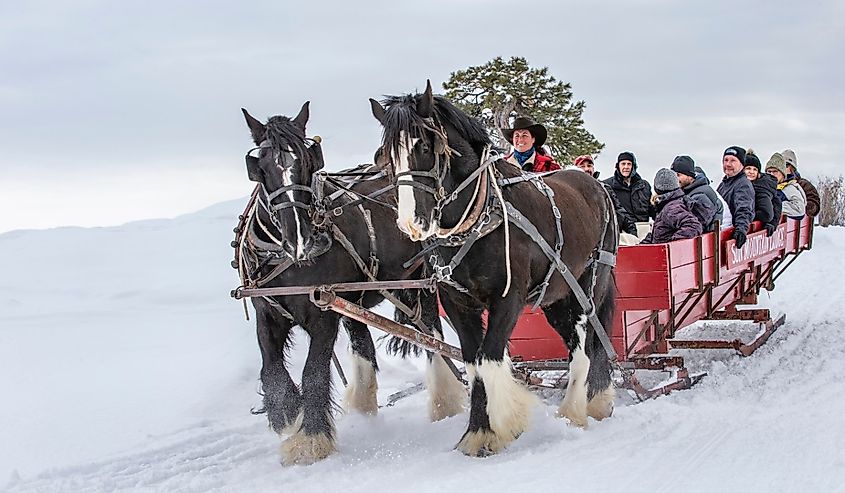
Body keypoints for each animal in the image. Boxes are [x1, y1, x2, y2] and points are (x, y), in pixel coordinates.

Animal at [236, 102, 462, 464]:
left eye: (309, 161)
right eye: (263, 167)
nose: (302, 241)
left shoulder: (323, 315)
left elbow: (313, 373)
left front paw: (310, 439)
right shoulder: (267, 312)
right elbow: (272, 370)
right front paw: (287, 413)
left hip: (419, 284)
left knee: (432, 336)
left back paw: (445, 402)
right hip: (354, 298)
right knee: (363, 344)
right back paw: (364, 409)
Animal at [370, 82, 620, 456]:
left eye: (425, 146)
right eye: (386, 156)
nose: (411, 222)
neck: (477, 219)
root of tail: (594, 184)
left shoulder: (508, 298)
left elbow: (489, 358)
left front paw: (501, 426)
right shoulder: (458, 304)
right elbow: (475, 364)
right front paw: (478, 431)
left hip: (587, 287)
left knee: (586, 351)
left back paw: (576, 411)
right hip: (555, 298)